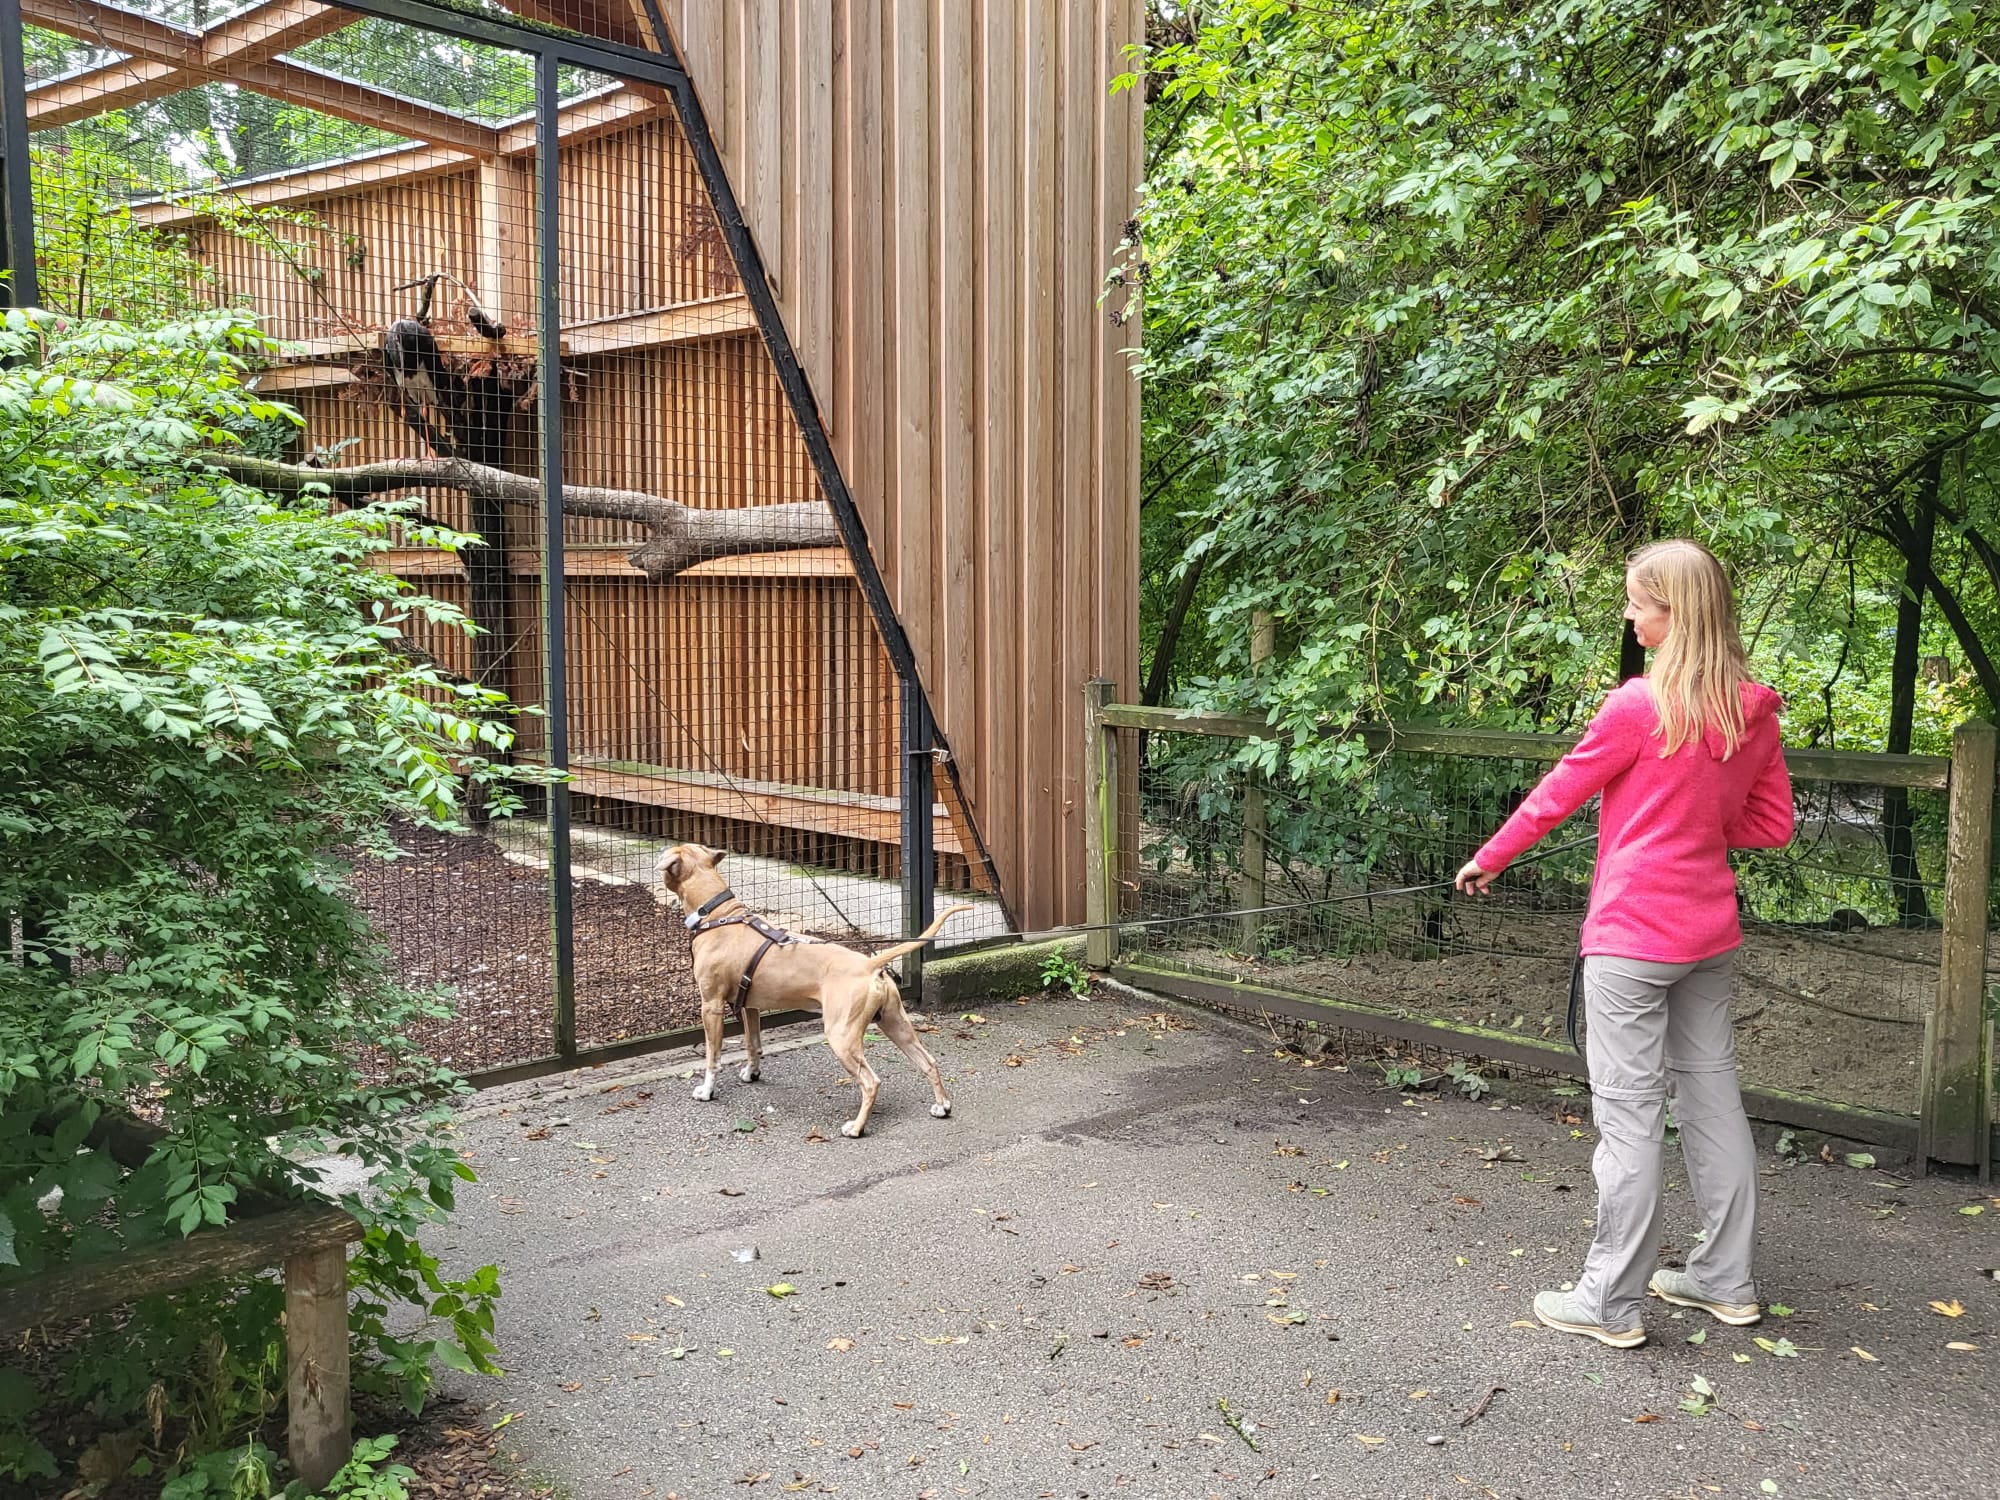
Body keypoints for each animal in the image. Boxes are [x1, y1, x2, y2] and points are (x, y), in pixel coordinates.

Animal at [658, 843, 972, 1137]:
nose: (661, 850)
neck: (717, 914)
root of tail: (869, 964)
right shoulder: (750, 1006)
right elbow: (752, 1043)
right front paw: (752, 1072)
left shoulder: (710, 1006)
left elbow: (713, 1056)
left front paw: (706, 1091)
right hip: (896, 1024)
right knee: (929, 1062)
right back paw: (942, 1105)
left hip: (842, 1036)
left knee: (871, 1082)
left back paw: (856, 1128)